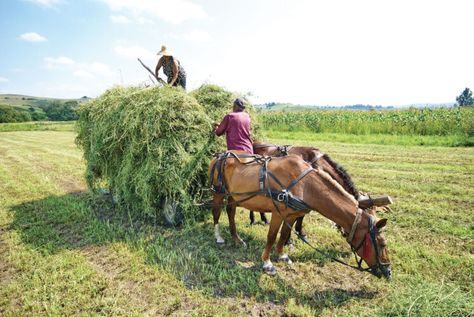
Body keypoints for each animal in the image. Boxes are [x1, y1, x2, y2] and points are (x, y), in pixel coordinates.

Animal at [211, 151, 392, 276]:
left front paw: (282, 255)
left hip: (233, 196)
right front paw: (267, 263)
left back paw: (236, 238)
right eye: (382, 244)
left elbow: (284, 234)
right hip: (218, 192)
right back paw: (219, 237)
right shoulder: (278, 213)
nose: (388, 271)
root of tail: (219, 155)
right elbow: (271, 236)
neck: (305, 185)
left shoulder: (291, 215)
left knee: (231, 212)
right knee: (216, 213)